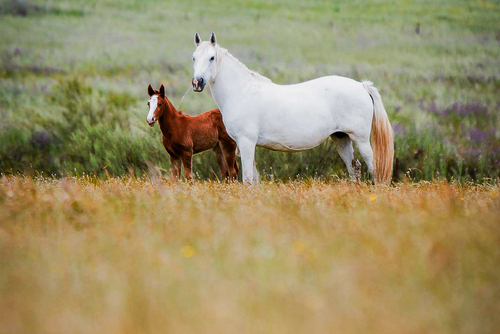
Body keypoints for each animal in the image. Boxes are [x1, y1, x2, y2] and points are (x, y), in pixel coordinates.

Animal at [191, 32, 394, 184]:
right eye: (193, 58)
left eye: (211, 58)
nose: (197, 83)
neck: (241, 91)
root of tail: (361, 86)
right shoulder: (245, 145)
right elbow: (254, 179)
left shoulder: (246, 142)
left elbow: (248, 178)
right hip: (341, 138)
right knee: (354, 168)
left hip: (360, 139)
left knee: (374, 167)